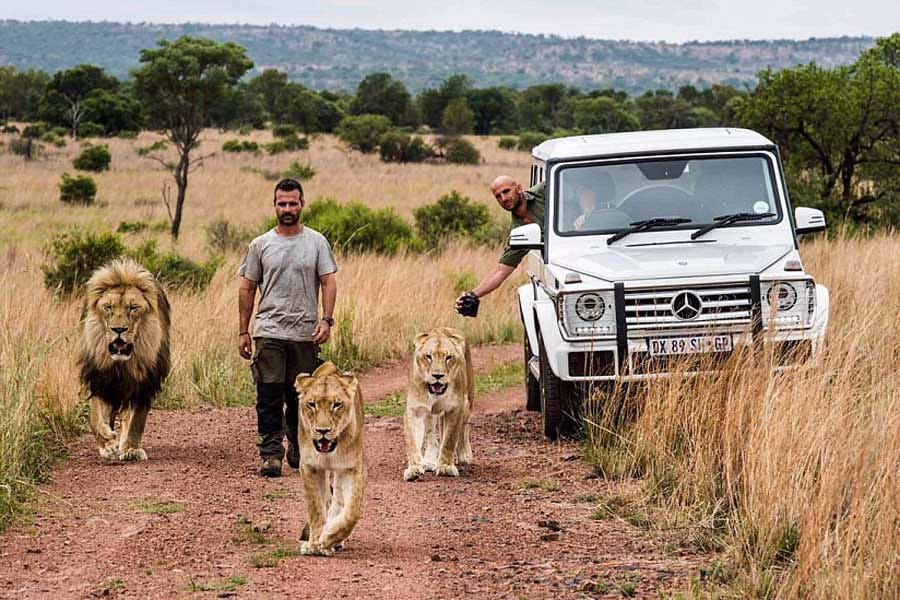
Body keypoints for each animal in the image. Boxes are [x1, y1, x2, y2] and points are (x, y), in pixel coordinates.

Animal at [76, 258, 171, 462]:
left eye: (133, 308)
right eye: (108, 307)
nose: (118, 329)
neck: (120, 364)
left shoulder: (145, 384)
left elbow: (137, 420)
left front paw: (131, 449)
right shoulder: (99, 380)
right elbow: (95, 418)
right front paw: (107, 444)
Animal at [294, 361, 366, 556]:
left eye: (337, 405)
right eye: (312, 404)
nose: (323, 431)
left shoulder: (353, 467)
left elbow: (352, 512)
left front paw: (329, 538)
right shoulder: (310, 466)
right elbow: (316, 508)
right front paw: (314, 544)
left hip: (341, 471)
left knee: (338, 501)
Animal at [403, 327, 474, 482]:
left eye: (449, 358)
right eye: (428, 356)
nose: (437, 375)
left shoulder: (455, 409)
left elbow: (449, 439)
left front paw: (445, 467)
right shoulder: (415, 410)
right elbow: (413, 442)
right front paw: (414, 469)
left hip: (467, 403)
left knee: (464, 429)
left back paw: (464, 455)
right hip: (431, 414)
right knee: (431, 435)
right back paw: (430, 461)